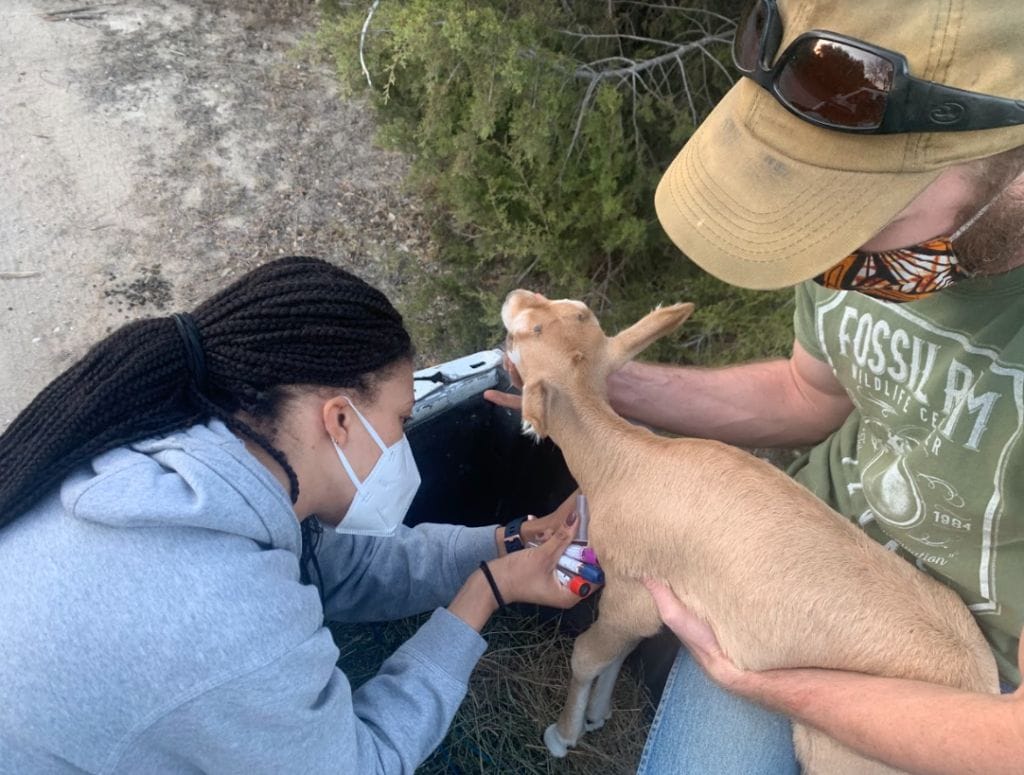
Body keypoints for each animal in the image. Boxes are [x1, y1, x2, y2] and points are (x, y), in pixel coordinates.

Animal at [500, 289, 999, 775]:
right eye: (574, 310)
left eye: (531, 331)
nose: (514, 295)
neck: (623, 460)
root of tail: (981, 680)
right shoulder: (646, 605)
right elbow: (620, 652)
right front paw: (596, 714)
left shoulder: (633, 587)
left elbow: (588, 654)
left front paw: (563, 735)